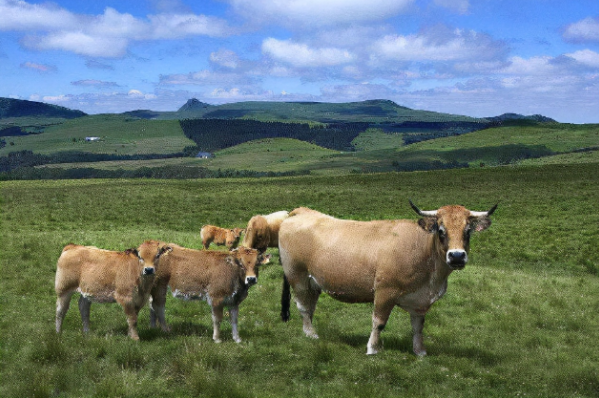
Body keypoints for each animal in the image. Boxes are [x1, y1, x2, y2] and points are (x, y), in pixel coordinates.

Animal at [137, 241, 270, 344]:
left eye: (257, 263)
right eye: (241, 264)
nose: (251, 279)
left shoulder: (234, 301)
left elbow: (234, 319)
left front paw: (237, 339)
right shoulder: (216, 297)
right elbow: (217, 318)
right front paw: (217, 339)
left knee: (152, 304)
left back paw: (153, 327)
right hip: (160, 286)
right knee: (159, 306)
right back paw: (165, 329)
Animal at [280, 202, 496, 358]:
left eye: (468, 231)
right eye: (441, 230)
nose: (457, 256)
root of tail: (301, 211)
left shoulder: (420, 301)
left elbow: (418, 327)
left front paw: (420, 351)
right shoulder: (385, 291)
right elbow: (379, 322)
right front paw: (373, 349)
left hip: (313, 283)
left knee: (310, 307)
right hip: (297, 276)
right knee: (303, 307)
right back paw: (311, 334)